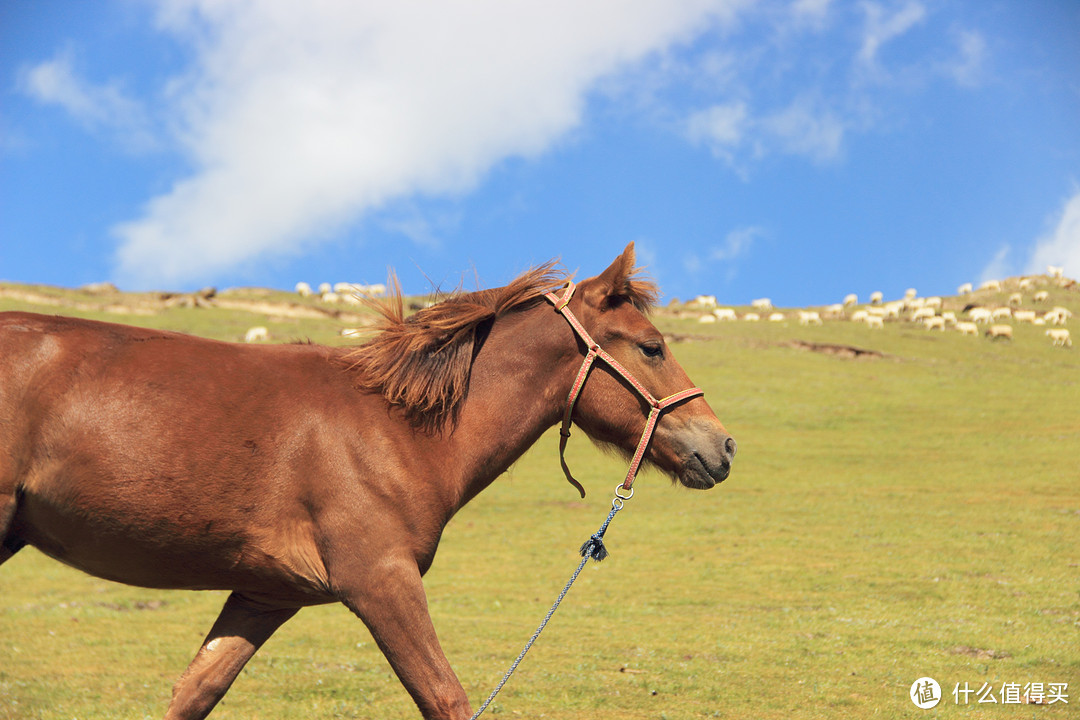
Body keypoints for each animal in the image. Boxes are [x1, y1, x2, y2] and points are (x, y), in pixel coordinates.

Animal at [0, 245, 734, 716]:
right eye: (652, 347)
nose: (722, 447)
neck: (395, 428)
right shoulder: (381, 582)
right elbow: (446, 697)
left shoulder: (264, 595)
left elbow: (193, 694)